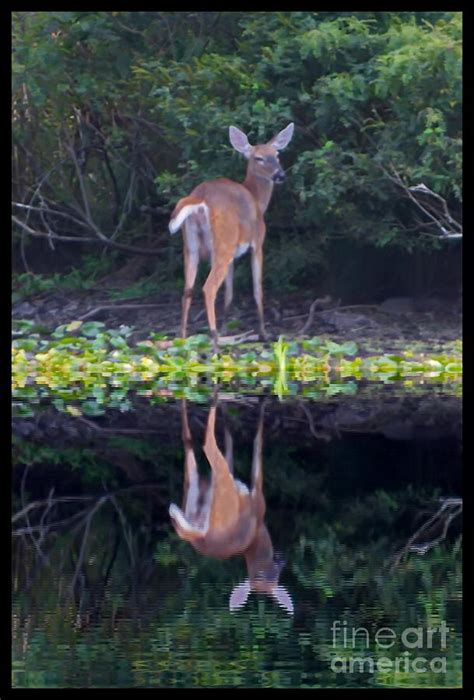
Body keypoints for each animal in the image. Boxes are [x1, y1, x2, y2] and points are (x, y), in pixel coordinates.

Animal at [167, 122, 292, 350]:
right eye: (258, 158)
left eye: (277, 155)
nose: (280, 175)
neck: (257, 199)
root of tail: (201, 198)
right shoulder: (257, 243)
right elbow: (257, 289)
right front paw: (263, 333)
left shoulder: (233, 253)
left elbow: (229, 292)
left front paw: (226, 327)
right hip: (223, 241)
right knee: (208, 288)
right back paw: (215, 342)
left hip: (192, 244)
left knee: (187, 289)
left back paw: (183, 339)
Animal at [168, 400, 294, 612]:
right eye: (274, 576)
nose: (282, 560)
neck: (258, 530)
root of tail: (200, 533)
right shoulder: (258, 497)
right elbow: (257, 447)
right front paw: (262, 408)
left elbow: (229, 443)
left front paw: (228, 420)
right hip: (223, 490)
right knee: (208, 445)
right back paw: (215, 397)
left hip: (195, 494)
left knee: (189, 443)